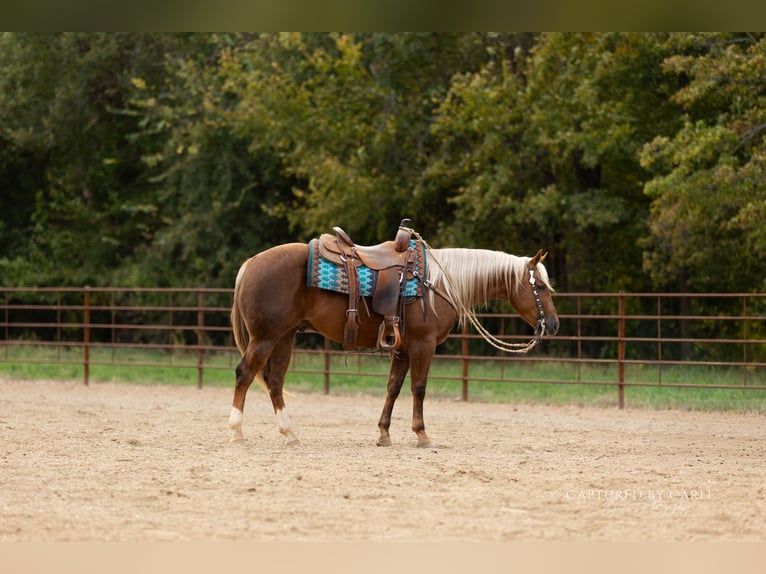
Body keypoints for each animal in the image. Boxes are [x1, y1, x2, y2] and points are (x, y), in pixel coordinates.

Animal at [228, 241, 559, 448]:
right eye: (541, 286)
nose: (554, 325)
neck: (439, 284)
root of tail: (251, 262)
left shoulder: (402, 348)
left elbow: (393, 388)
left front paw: (384, 434)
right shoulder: (423, 345)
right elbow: (419, 388)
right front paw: (422, 435)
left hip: (284, 337)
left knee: (274, 381)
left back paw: (290, 434)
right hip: (265, 337)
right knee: (245, 374)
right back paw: (236, 431)